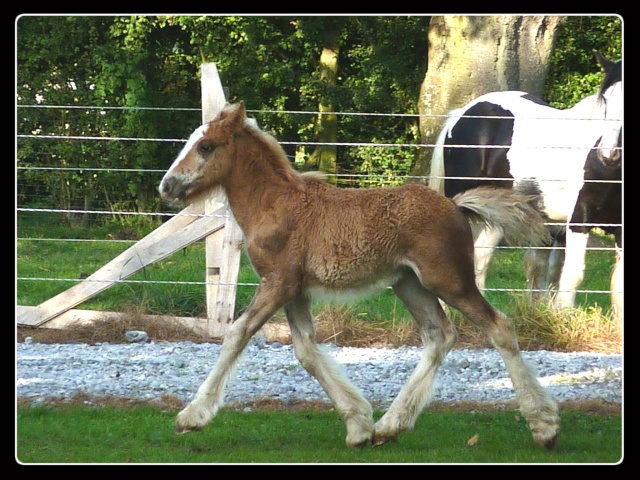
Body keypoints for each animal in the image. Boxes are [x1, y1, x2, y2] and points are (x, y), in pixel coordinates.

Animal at [430, 51, 620, 318]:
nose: (609, 153)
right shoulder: (580, 217)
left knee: (486, 259)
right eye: (605, 101)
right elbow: (572, 275)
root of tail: (462, 113)